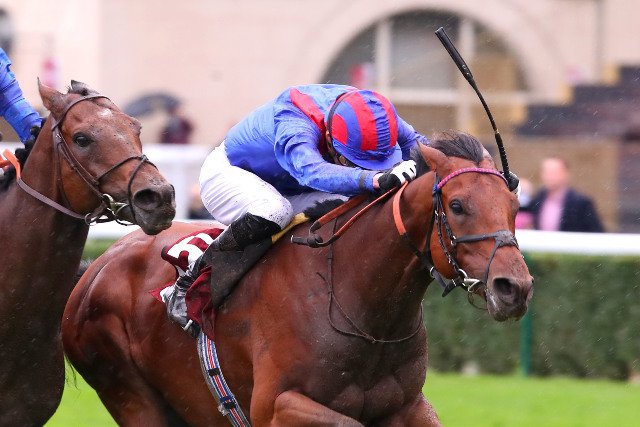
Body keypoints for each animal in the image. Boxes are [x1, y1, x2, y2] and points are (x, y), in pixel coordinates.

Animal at [62, 132, 533, 426]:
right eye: (457, 205)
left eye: (514, 203)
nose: (514, 288)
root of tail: (94, 269)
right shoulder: (277, 406)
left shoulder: (408, 406)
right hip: (130, 393)